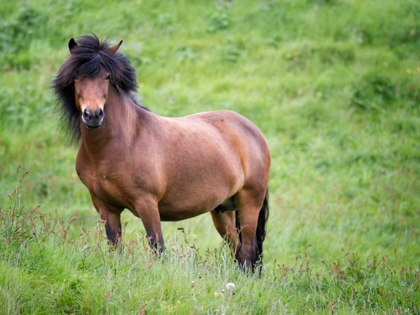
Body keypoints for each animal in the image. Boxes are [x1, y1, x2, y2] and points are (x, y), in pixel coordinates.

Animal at [52, 35, 270, 272]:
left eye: (107, 77)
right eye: (76, 77)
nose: (93, 115)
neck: (123, 142)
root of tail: (254, 130)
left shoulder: (147, 204)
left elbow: (158, 250)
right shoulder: (105, 208)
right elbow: (115, 249)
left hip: (249, 202)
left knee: (247, 251)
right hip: (223, 210)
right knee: (236, 249)